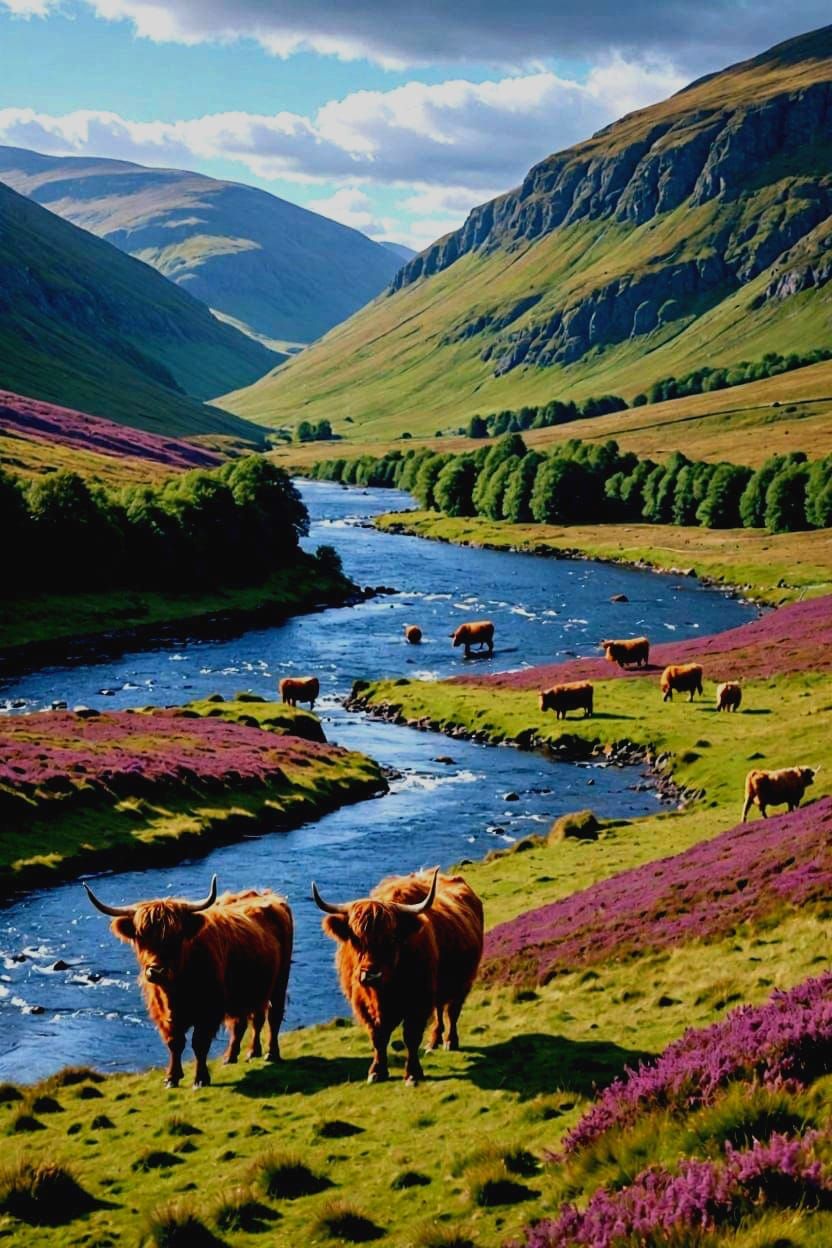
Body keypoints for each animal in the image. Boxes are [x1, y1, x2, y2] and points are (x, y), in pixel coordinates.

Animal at [83, 876, 293, 1089]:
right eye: (140, 937)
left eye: (176, 937)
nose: (156, 971)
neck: (175, 991)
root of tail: (264, 895)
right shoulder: (165, 1015)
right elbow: (174, 1043)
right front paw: (172, 1077)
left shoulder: (208, 1012)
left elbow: (199, 1044)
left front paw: (200, 1078)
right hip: (249, 990)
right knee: (246, 1020)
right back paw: (237, 1055)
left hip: (279, 980)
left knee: (272, 1015)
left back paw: (270, 1053)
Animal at [313, 868, 483, 1086]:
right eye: (355, 938)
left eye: (391, 938)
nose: (370, 974)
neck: (383, 993)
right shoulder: (362, 1005)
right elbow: (378, 1037)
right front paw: (377, 1071)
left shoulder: (418, 1003)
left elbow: (411, 1037)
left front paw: (412, 1073)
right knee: (439, 1009)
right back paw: (434, 1041)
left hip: (463, 982)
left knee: (452, 1011)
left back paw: (449, 1041)